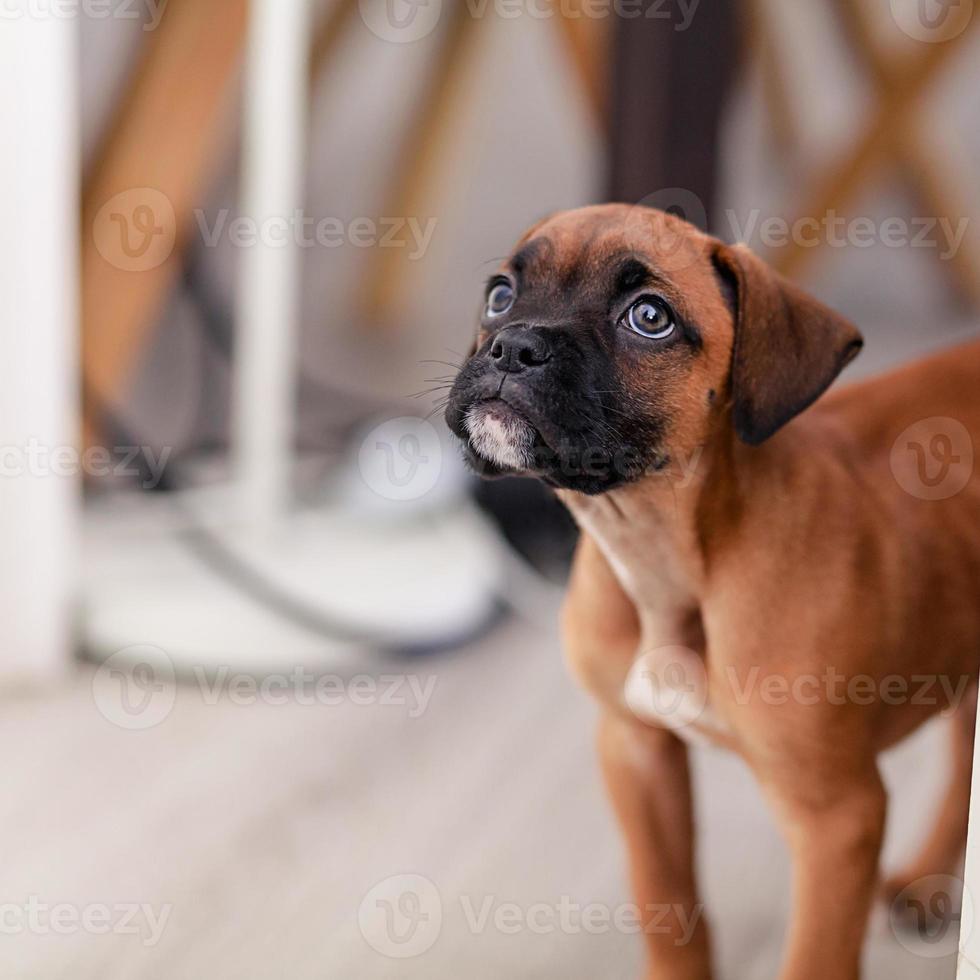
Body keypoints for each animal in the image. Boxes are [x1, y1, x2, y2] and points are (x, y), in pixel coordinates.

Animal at [444, 203, 980, 976]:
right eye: (500, 296)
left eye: (649, 317)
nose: (512, 347)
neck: (670, 556)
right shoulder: (636, 750)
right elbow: (667, 908)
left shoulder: (835, 820)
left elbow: (814, 956)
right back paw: (931, 879)